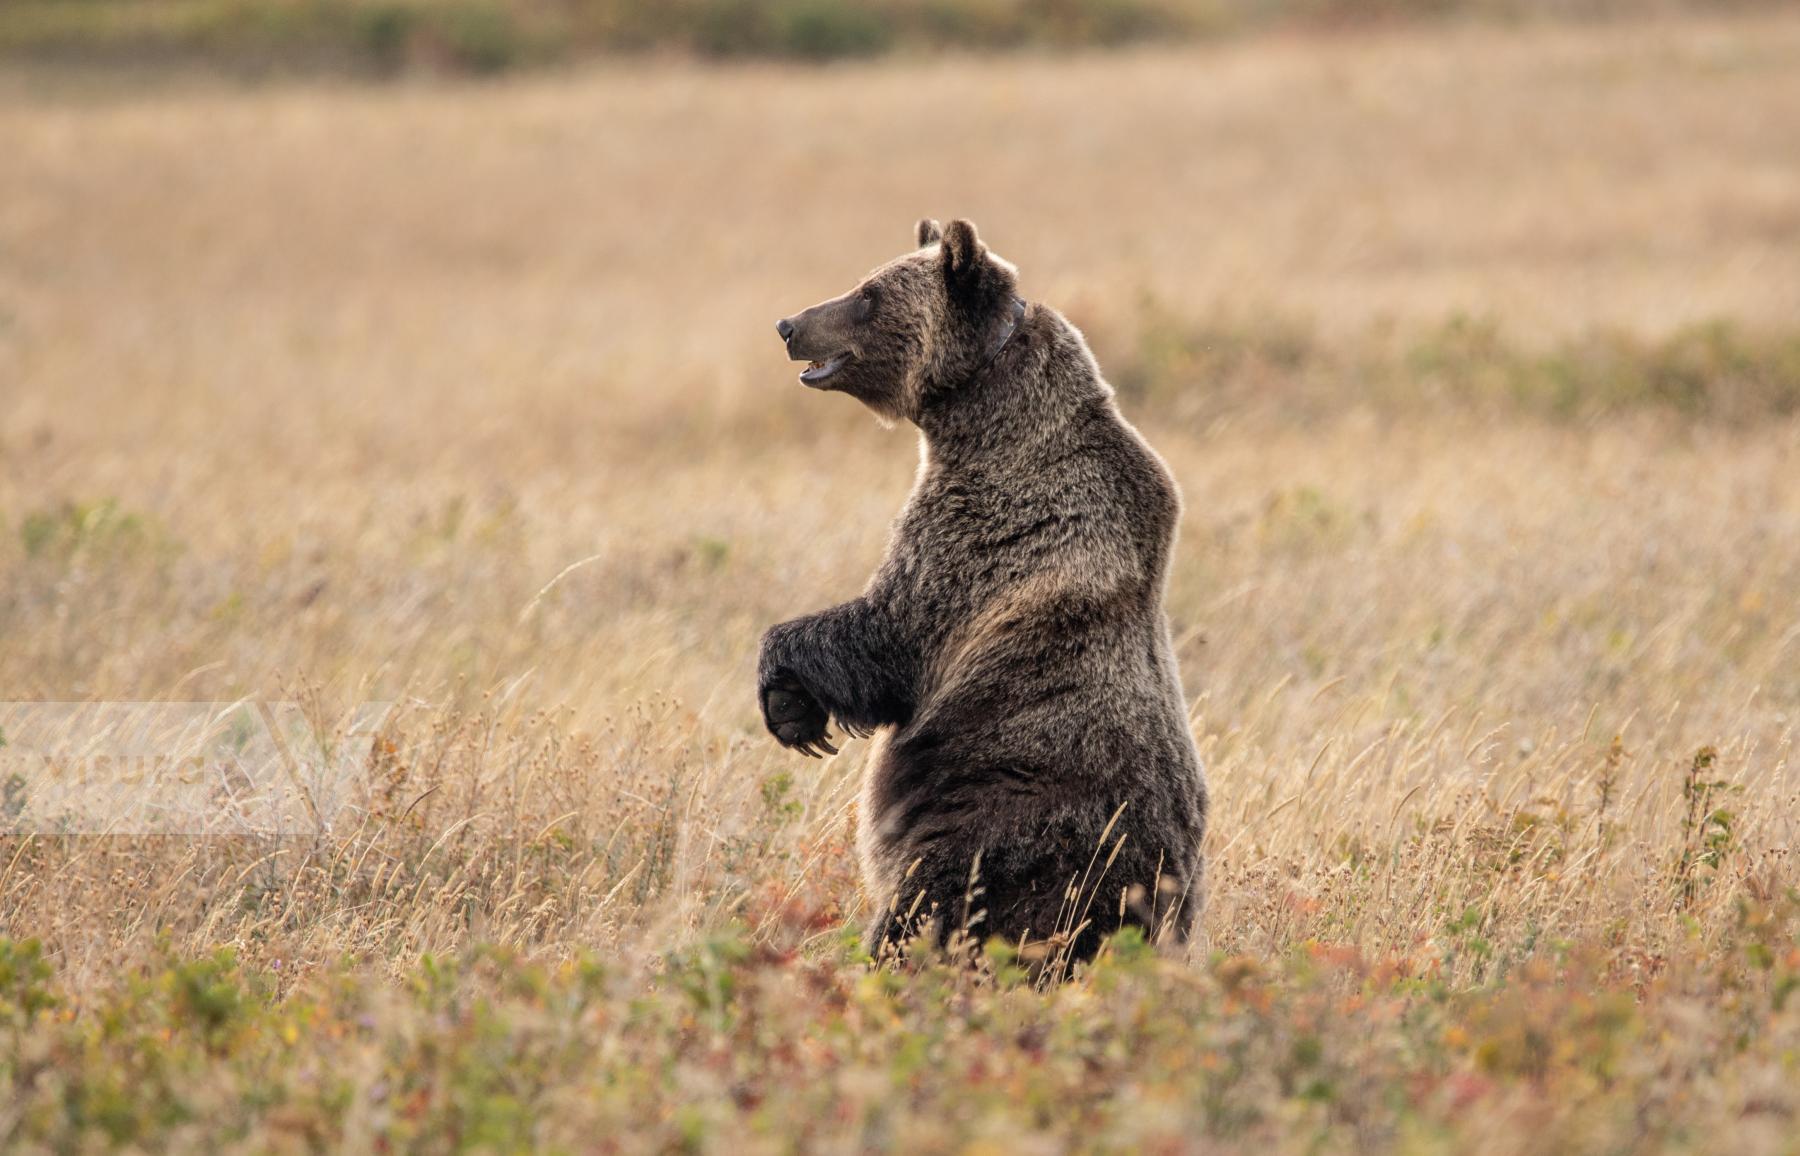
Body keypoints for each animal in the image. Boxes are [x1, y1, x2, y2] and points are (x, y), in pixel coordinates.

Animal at [759, 216, 1209, 965]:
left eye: (869, 295)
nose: (789, 324)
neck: (983, 415)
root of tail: (1138, 901)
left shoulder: (978, 531)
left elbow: (889, 634)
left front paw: (787, 699)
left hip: (1000, 827)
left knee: (930, 908)